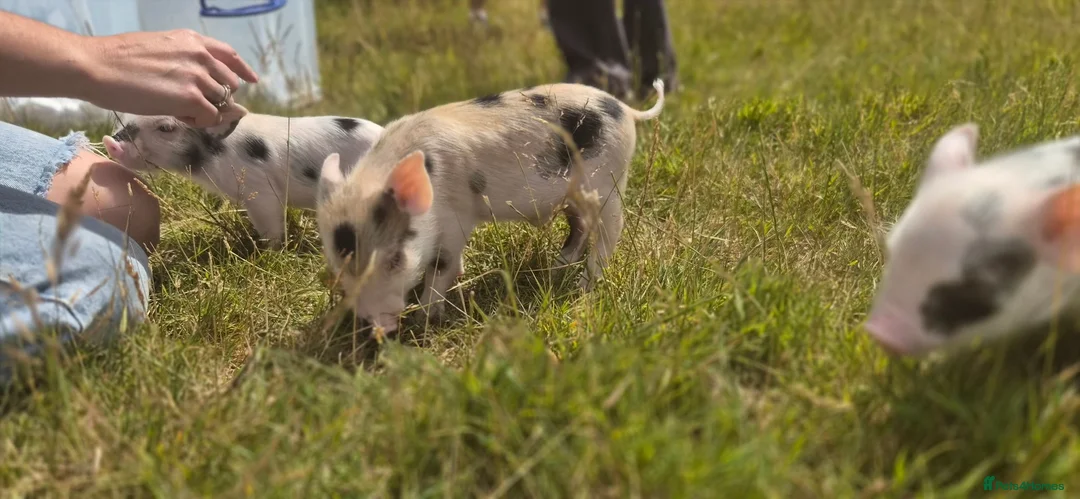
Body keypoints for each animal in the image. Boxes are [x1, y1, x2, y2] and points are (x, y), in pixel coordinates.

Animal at [315, 79, 666, 333]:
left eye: (394, 259)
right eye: (338, 264)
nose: (377, 326)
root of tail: (626, 110)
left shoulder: (456, 216)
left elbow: (441, 263)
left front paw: (426, 316)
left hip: (606, 182)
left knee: (610, 230)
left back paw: (583, 286)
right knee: (580, 226)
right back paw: (557, 266)